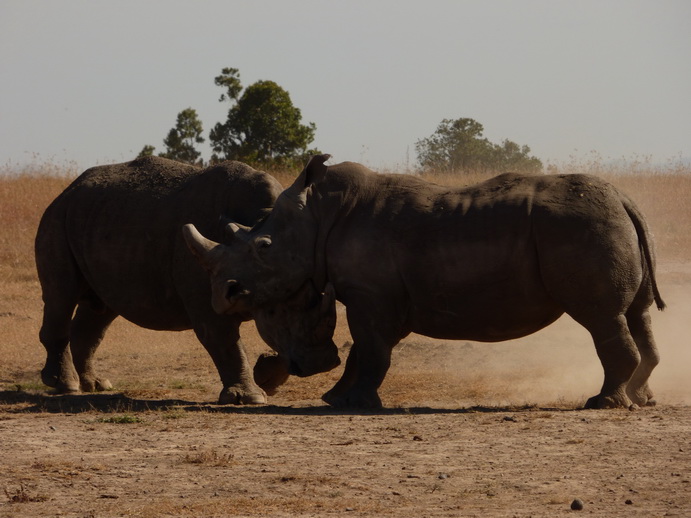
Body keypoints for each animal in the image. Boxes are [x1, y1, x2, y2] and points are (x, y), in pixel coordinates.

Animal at [34, 156, 338, 408]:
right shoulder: (209, 287)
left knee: (102, 309)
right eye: (275, 311)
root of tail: (67, 191)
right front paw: (250, 397)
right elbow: (223, 338)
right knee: (61, 296)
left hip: (99, 220)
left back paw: (97, 385)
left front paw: (267, 379)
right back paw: (66, 386)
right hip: (57, 218)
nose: (321, 363)